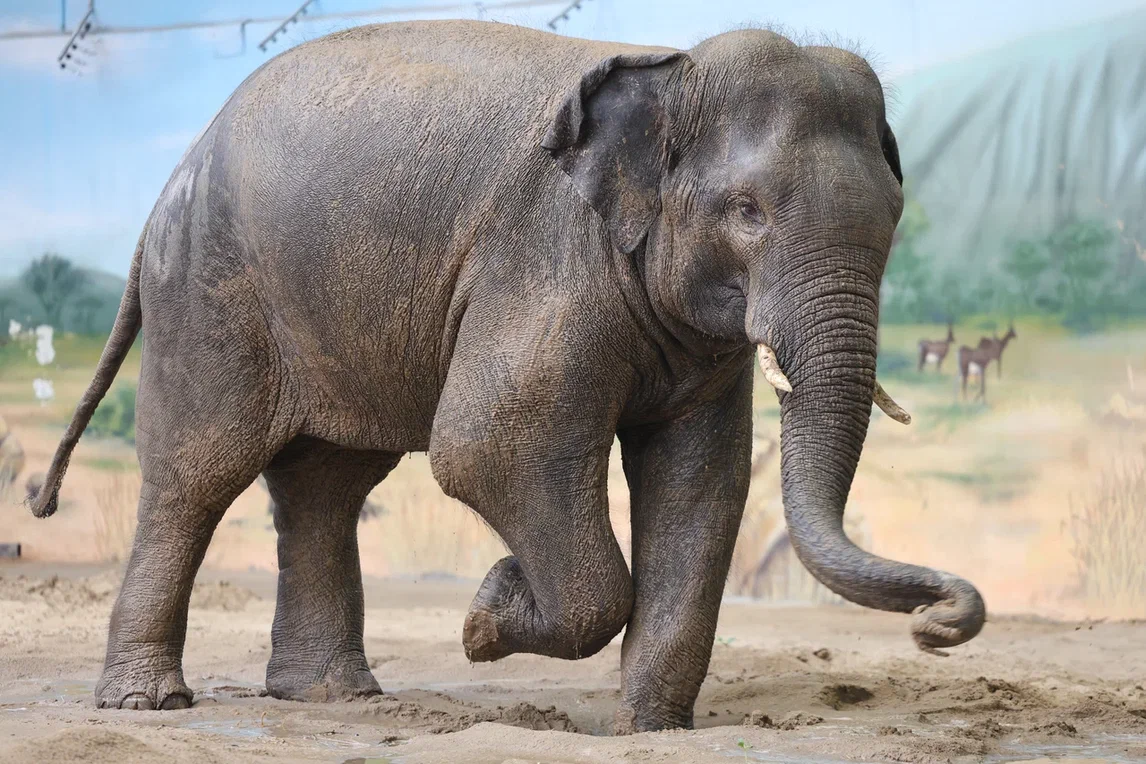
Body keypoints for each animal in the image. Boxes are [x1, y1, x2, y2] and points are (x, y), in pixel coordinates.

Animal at [28, 20, 986, 732]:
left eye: (895, 216)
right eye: (746, 212)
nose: (938, 624)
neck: (667, 68)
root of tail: (170, 179)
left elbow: (699, 481)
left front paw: (646, 729)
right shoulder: (543, 257)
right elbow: (488, 448)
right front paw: (487, 614)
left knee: (325, 486)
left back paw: (334, 695)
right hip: (210, 292)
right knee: (197, 474)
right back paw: (148, 703)